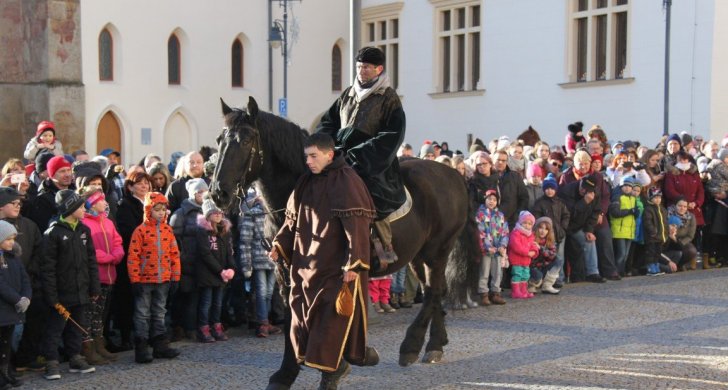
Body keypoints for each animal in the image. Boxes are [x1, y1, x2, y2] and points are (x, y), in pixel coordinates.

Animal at [210, 96, 480, 386]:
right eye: (220, 140)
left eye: (247, 140)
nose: (218, 193)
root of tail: (454, 174)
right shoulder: (286, 271)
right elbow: (294, 315)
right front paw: (287, 372)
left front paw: (334, 366)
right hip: (418, 256)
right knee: (435, 290)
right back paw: (435, 344)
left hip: (438, 250)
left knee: (433, 292)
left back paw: (412, 345)